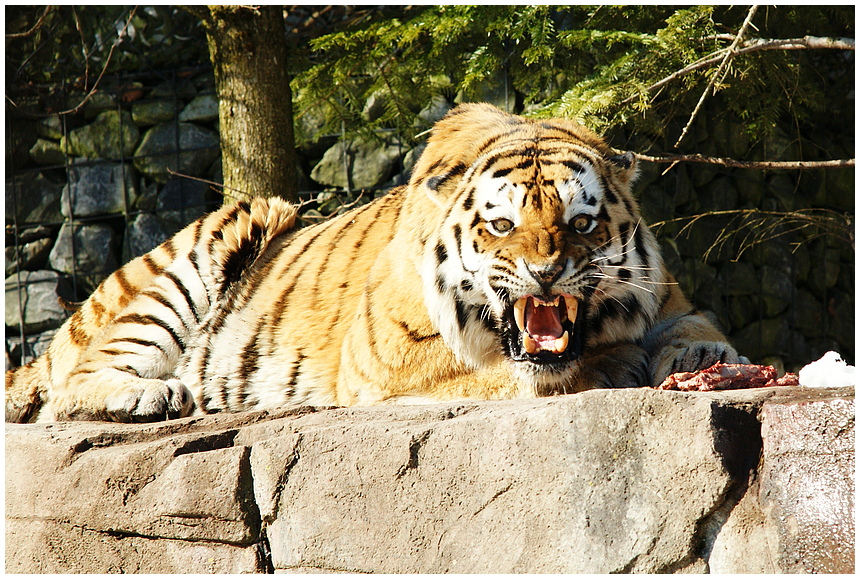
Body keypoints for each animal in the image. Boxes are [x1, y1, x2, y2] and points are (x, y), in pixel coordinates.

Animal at [5, 102, 740, 424]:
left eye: (581, 224)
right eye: (502, 225)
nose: (546, 274)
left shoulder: (668, 294)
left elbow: (695, 323)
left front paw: (704, 357)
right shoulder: (388, 360)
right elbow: (509, 375)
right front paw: (613, 367)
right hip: (210, 243)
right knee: (70, 388)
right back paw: (151, 393)